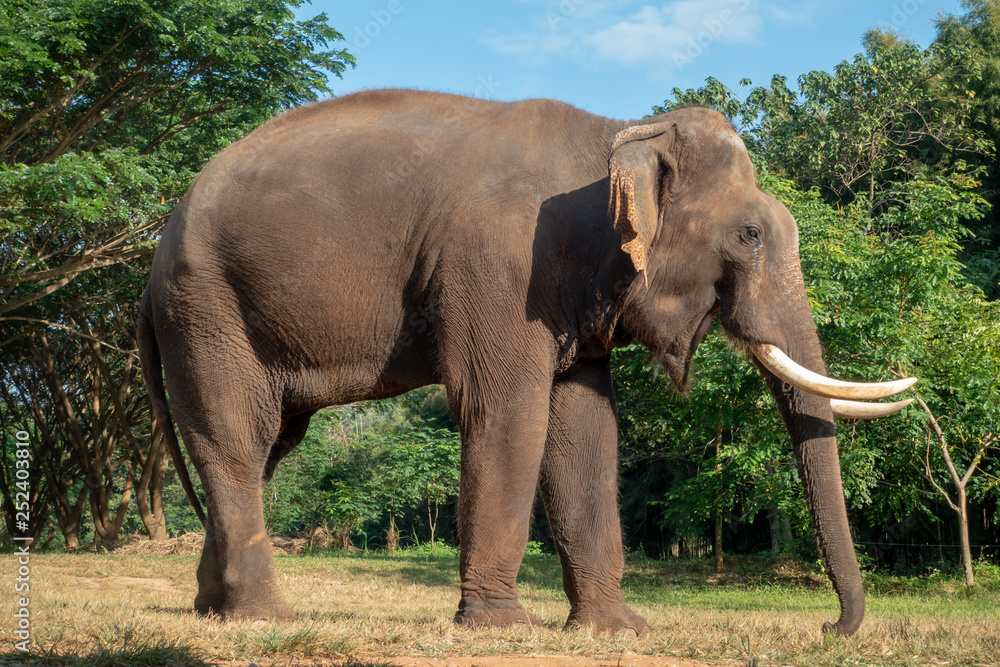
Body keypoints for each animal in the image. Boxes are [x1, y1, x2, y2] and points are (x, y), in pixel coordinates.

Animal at [137, 89, 915, 637]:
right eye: (750, 234)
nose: (830, 628)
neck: (617, 134)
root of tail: (154, 257)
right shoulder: (500, 265)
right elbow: (506, 408)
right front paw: (501, 627)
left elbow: (587, 429)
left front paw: (616, 630)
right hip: (207, 306)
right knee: (237, 441)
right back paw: (263, 618)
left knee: (270, 444)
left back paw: (213, 610)